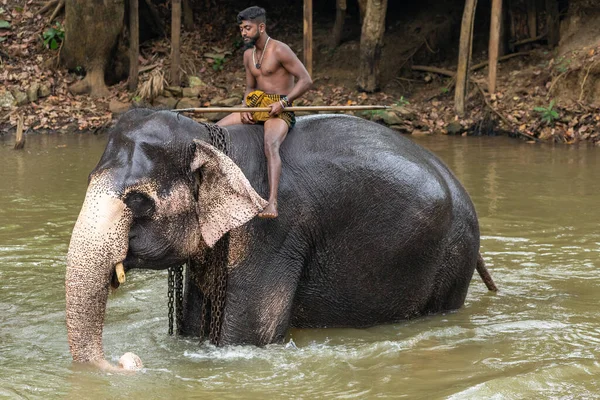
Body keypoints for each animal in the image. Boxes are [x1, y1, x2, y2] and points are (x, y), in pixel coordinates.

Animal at [67, 108, 496, 370]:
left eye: (139, 200)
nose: (128, 361)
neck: (209, 137)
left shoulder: (272, 232)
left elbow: (247, 336)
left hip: (453, 254)